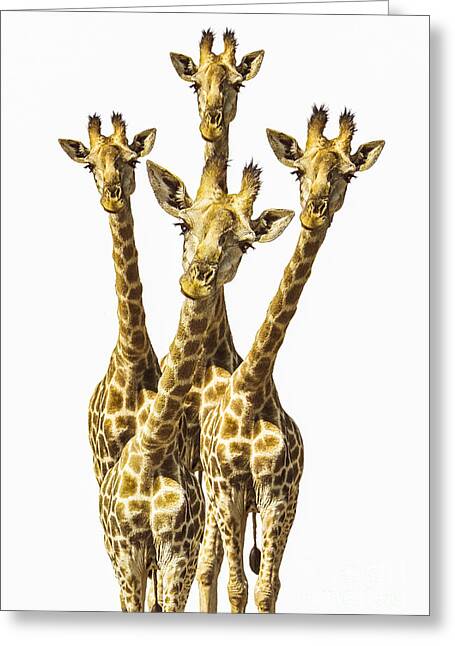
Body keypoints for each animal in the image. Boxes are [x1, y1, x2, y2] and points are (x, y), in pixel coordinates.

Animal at [98, 155, 293, 611]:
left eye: (245, 242)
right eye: (184, 225)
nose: (197, 278)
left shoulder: (264, 496)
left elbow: (250, 584)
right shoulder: (134, 544)